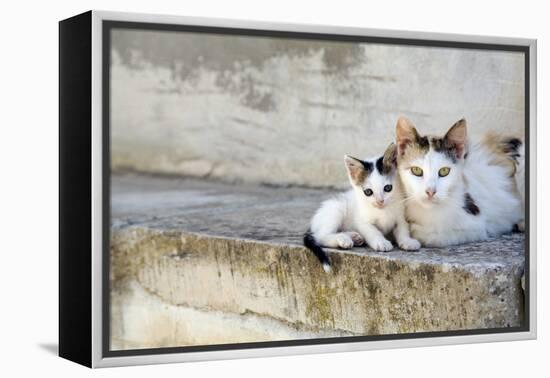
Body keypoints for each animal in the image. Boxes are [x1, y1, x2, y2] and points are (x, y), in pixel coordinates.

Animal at [304, 144, 420, 272]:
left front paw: (407, 241)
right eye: (368, 192)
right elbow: (372, 231)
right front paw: (381, 242)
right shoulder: (362, 221)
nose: (380, 201)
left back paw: (354, 237)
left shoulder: (401, 216)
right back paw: (343, 239)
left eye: (388, 188)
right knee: (320, 236)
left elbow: (403, 229)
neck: (383, 210)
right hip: (336, 209)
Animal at [396, 116, 528, 247]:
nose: (430, 192)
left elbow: (438, 237)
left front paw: (415, 230)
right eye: (416, 170)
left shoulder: (477, 226)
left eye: (444, 171)